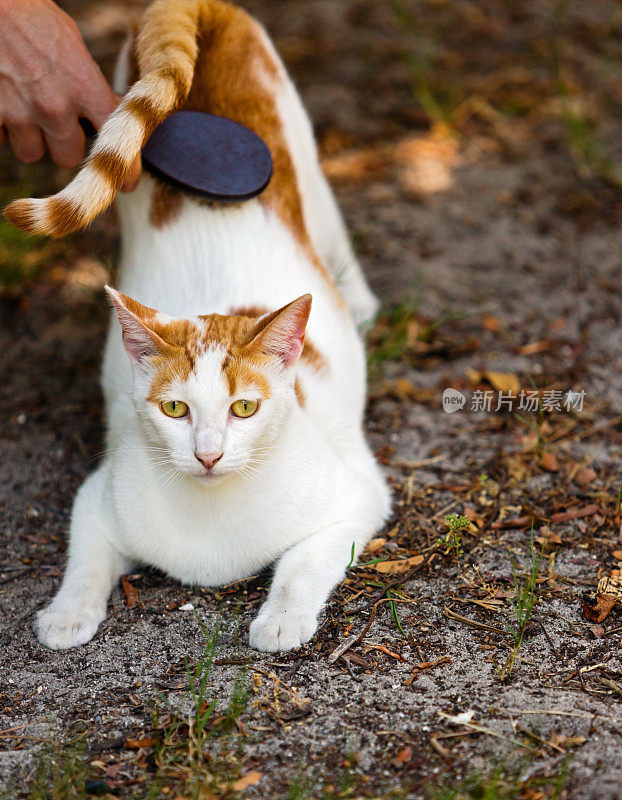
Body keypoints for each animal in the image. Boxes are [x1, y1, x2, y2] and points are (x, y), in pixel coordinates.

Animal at [6, 0, 390, 648]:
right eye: (175, 409)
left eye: (244, 409)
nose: (208, 456)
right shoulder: (95, 501)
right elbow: (85, 560)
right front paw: (67, 614)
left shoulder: (358, 499)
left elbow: (304, 563)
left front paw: (281, 620)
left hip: (310, 170)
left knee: (334, 232)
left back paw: (359, 301)